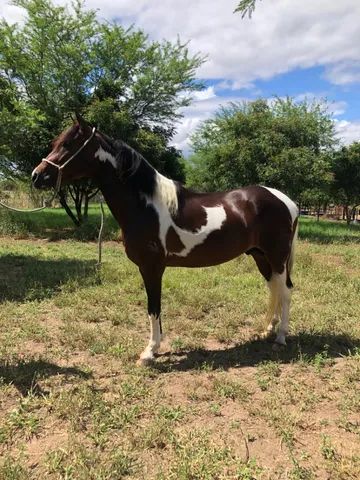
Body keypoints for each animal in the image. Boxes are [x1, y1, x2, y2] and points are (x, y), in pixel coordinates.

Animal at [33, 114, 298, 366]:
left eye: (68, 144)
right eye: (55, 143)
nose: (37, 176)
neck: (145, 205)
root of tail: (286, 201)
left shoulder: (151, 267)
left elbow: (153, 307)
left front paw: (149, 352)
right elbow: (155, 309)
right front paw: (157, 346)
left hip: (277, 257)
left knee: (285, 290)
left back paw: (281, 337)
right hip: (260, 256)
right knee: (274, 287)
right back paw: (268, 330)